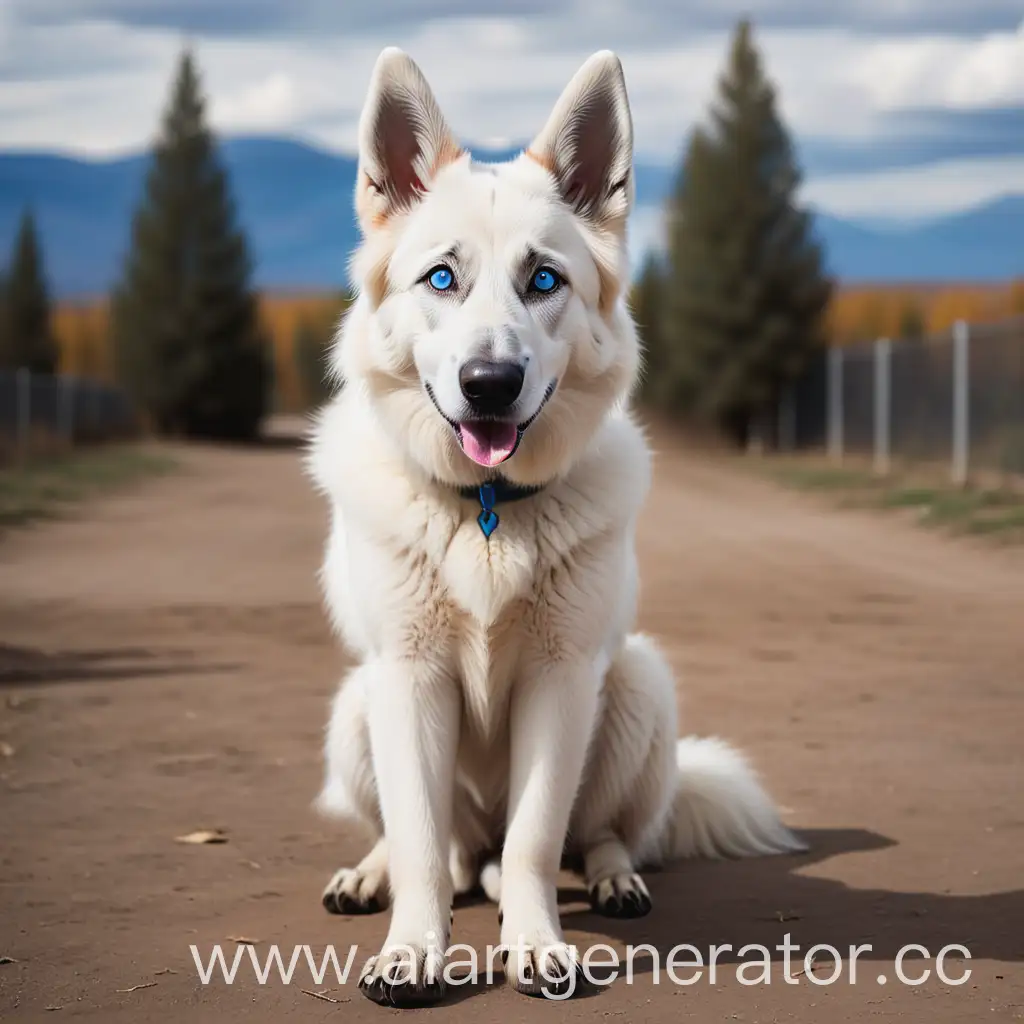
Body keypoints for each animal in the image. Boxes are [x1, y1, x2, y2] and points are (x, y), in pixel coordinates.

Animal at [307, 48, 802, 1007]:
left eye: (544, 281)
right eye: (441, 278)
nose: (489, 383)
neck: (488, 510)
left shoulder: (561, 680)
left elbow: (537, 839)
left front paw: (536, 947)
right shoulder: (407, 680)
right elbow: (418, 844)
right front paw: (412, 952)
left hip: (638, 684)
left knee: (585, 839)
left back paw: (613, 882)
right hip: (353, 707)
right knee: (438, 850)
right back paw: (372, 875)